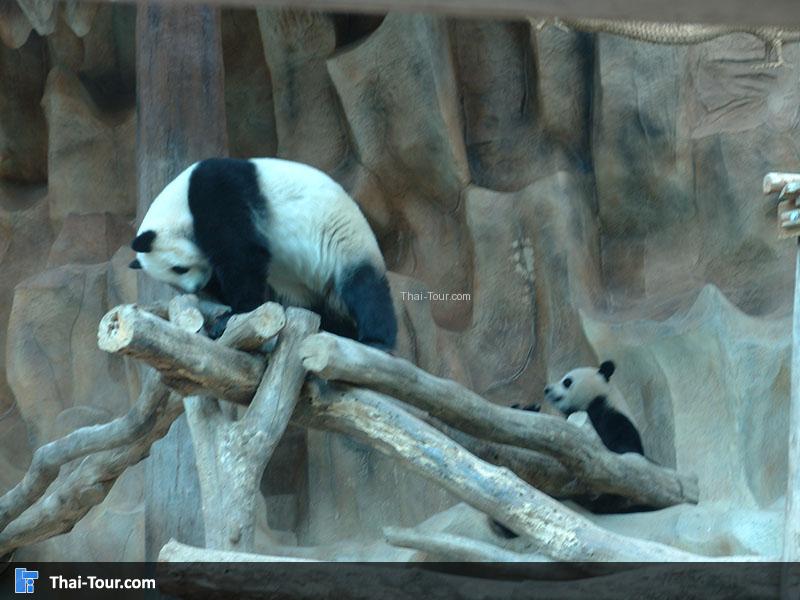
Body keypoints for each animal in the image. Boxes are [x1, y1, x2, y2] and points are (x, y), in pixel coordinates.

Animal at [128, 157, 397, 350]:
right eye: (173, 278)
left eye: (179, 268)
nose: (196, 287)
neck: (179, 203)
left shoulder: (217, 191)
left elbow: (242, 254)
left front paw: (232, 316)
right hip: (301, 288)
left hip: (347, 243)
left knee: (365, 289)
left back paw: (377, 340)